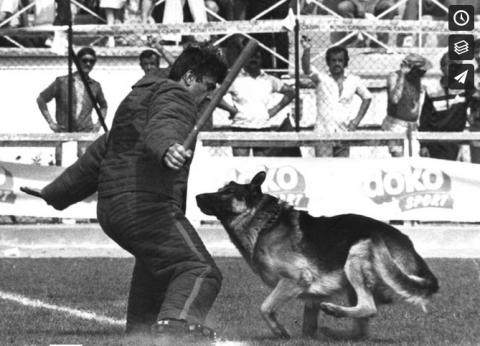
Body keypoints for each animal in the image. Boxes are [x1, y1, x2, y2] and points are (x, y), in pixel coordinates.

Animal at [195, 172, 438, 340]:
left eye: (227, 192)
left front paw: (280, 331)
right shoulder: (311, 297)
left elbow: (265, 308)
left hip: (357, 256)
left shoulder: (295, 279)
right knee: (361, 329)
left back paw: (334, 312)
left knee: (368, 307)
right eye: (221, 189)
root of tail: (409, 248)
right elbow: (307, 329)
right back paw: (334, 332)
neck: (263, 222)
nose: (196, 196)